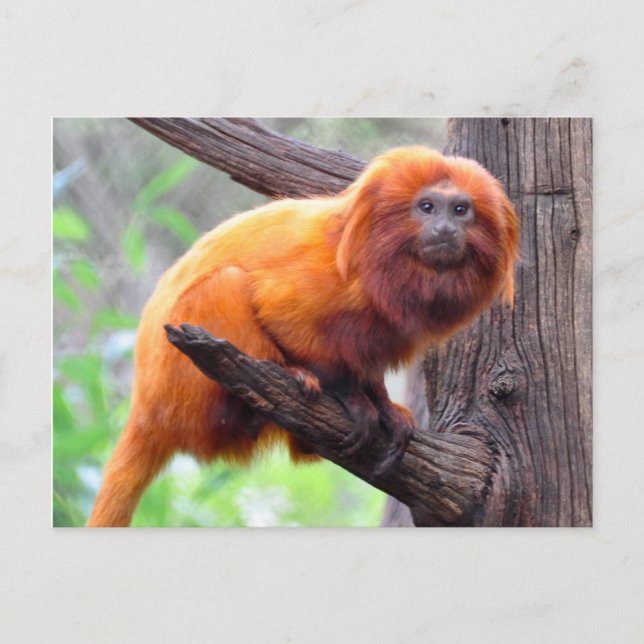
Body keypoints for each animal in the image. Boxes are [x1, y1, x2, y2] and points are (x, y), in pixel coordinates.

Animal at [87, 146, 519, 527]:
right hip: (183, 382)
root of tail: (145, 408)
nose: (445, 229)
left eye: (461, 210)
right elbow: (286, 320)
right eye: (427, 207)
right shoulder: (320, 279)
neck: (387, 263)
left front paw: (383, 404)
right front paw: (350, 397)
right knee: (226, 283)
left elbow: (368, 364)